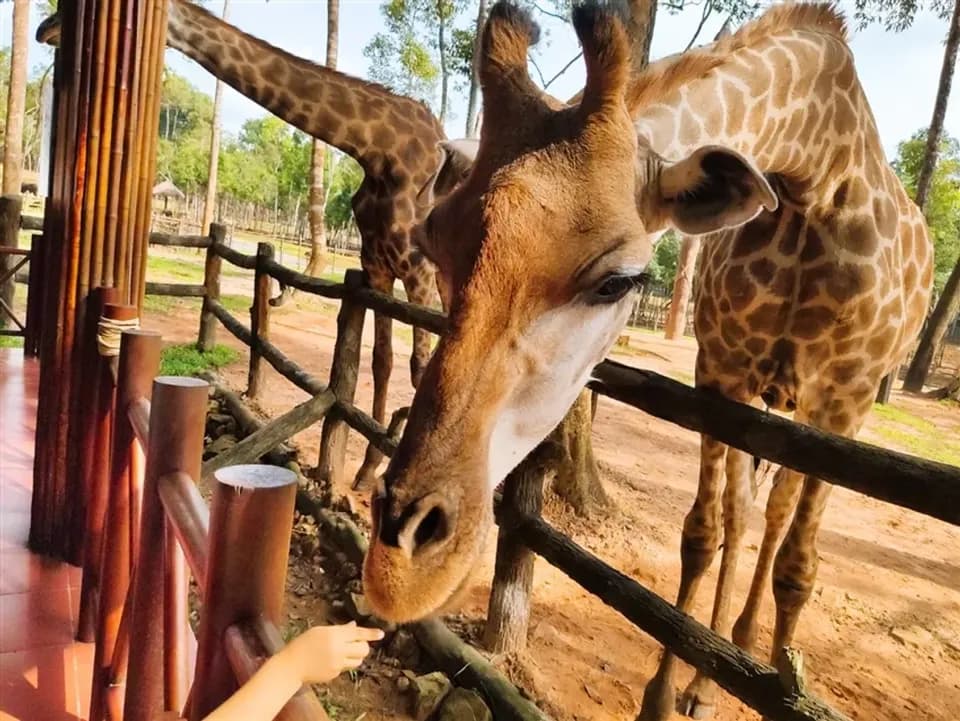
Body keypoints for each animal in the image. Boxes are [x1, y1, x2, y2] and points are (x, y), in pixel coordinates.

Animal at [37, 1, 480, 490]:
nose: (44, 30)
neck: (376, 150)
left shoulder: (417, 267)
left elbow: (420, 368)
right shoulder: (377, 264)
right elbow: (382, 361)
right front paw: (365, 472)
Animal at [358, 5, 928, 720]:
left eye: (618, 282)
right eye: (434, 243)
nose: (399, 571)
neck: (815, 176)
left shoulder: (846, 399)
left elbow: (798, 561)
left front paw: (766, 680)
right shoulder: (721, 375)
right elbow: (704, 532)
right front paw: (668, 694)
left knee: (781, 518)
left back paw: (754, 651)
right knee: (748, 513)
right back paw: (716, 674)